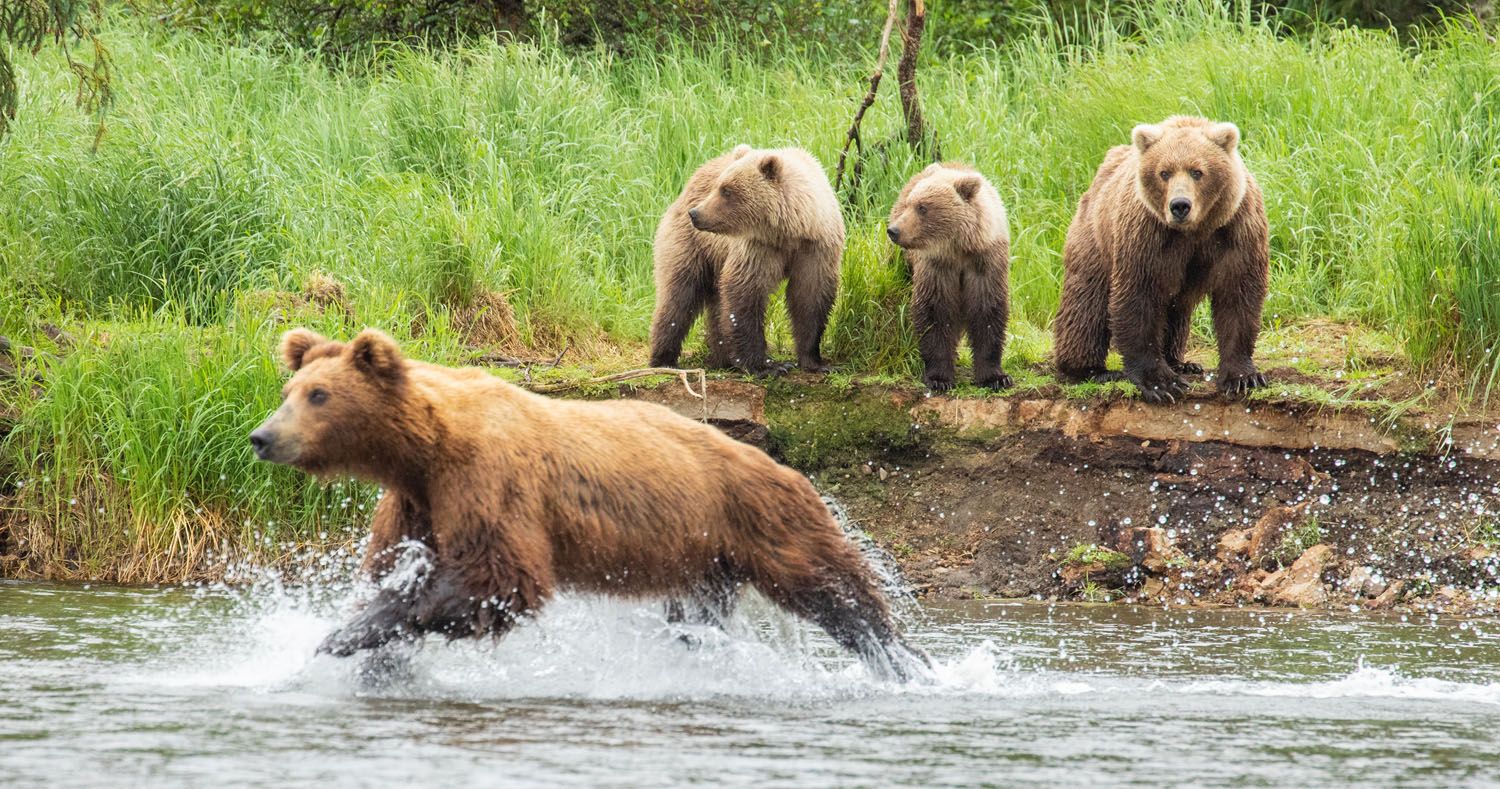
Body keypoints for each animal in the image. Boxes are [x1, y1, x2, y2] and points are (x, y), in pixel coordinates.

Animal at [249, 331, 924, 684]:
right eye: (288, 390)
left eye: (319, 394)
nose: (262, 436)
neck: (423, 449)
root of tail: (784, 463)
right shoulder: (416, 502)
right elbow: (394, 566)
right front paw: (373, 650)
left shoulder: (488, 481)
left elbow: (499, 579)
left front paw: (343, 635)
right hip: (704, 558)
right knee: (696, 618)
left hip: (766, 518)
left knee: (840, 594)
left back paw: (905, 662)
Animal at [645, 145, 846, 378]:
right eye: (718, 186)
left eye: (726, 190)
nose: (695, 213)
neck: (789, 232)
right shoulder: (757, 249)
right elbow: (745, 294)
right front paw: (767, 366)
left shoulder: (816, 249)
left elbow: (811, 297)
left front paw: (816, 361)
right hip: (690, 246)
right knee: (679, 297)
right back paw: (665, 360)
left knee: (714, 303)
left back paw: (723, 358)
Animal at [882, 163, 1014, 393]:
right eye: (910, 204)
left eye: (922, 207)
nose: (894, 230)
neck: (959, 248)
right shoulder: (937, 267)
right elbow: (936, 311)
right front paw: (939, 378)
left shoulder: (986, 262)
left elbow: (988, 311)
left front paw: (996, 377)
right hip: (902, 263)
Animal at [1056, 114, 1266, 405]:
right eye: (1164, 172)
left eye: (1197, 171)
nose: (1180, 205)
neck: (1195, 230)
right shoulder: (1146, 235)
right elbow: (1139, 298)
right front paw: (1161, 383)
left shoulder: (1236, 229)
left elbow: (1238, 295)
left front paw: (1243, 377)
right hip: (1096, 237)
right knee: (1087, 301)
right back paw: (1089, 369)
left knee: (1176, 309)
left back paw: (1181, 362)